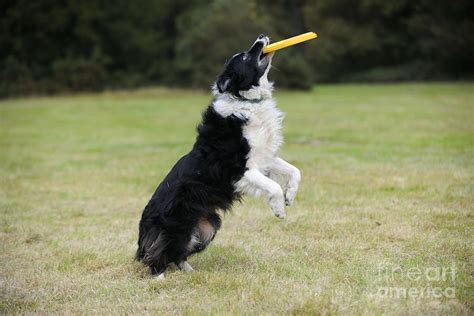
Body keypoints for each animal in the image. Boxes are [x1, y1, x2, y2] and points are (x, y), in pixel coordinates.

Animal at [136, 33, 300, 278]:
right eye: (245, 56)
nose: (261, 36)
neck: (245, 100)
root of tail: (144, 227)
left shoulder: (264, 158)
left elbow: (294, 171)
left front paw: (290, 196)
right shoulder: (238, 170)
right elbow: (273, 186)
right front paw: (278, 209)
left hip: (209, 225)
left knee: (178, 253)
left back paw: (189, 270)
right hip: (177, 228)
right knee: (159, 254)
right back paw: (159, 277)